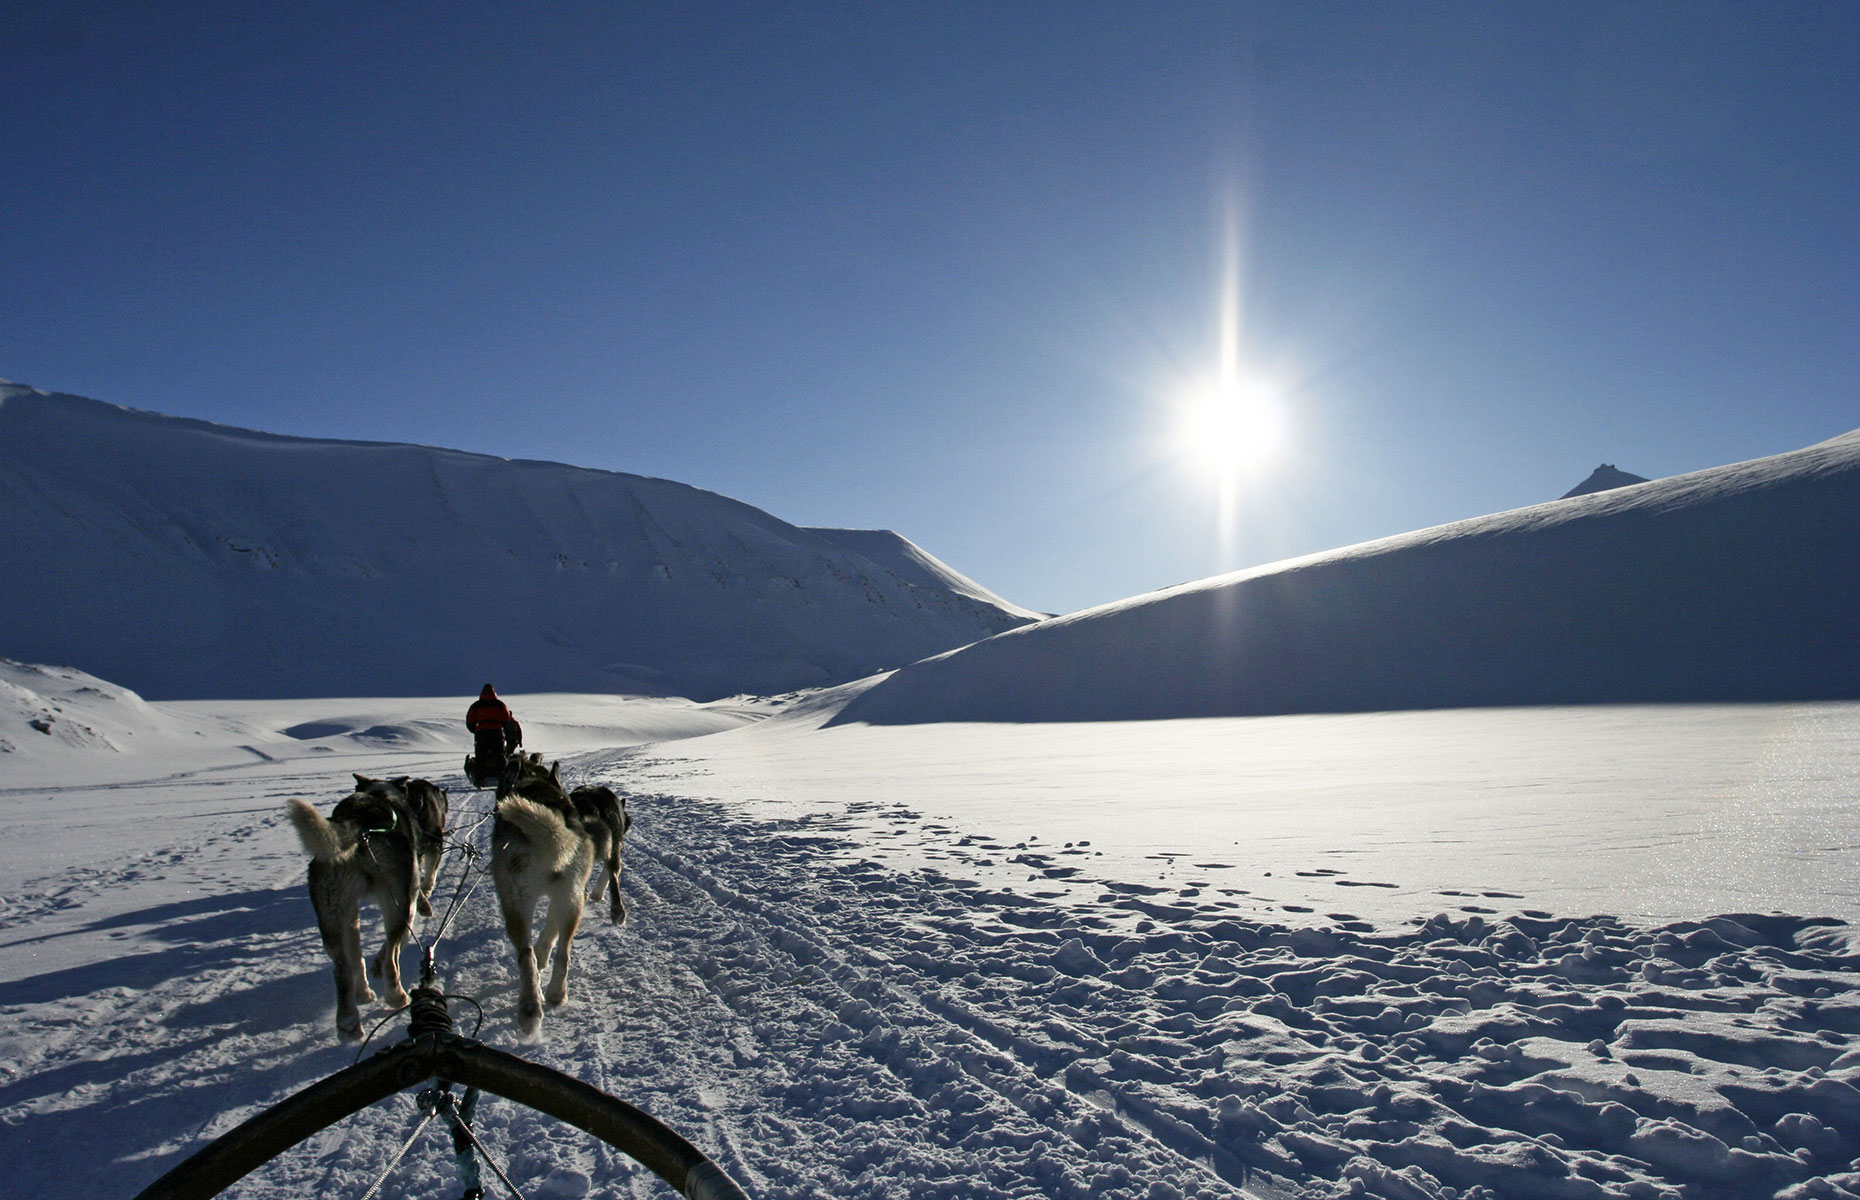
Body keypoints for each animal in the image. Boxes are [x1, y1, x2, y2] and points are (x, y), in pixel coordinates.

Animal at [288, 777, 451, 1041]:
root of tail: (359, 823)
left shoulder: (352, 910)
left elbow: (357, 956)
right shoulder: (410, 889)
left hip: (334, 915)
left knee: (343, 966)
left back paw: (350, 1018)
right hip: (397, 902)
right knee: (393, 955)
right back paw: (396, 996)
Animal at [491, 747, 591, 1041]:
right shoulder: (565, 896)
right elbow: (550, 928)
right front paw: (545, 952)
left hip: (515, 903)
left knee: (525, 955)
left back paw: (529, 1010)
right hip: (572, 898)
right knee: (564, 951)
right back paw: (557, 993)